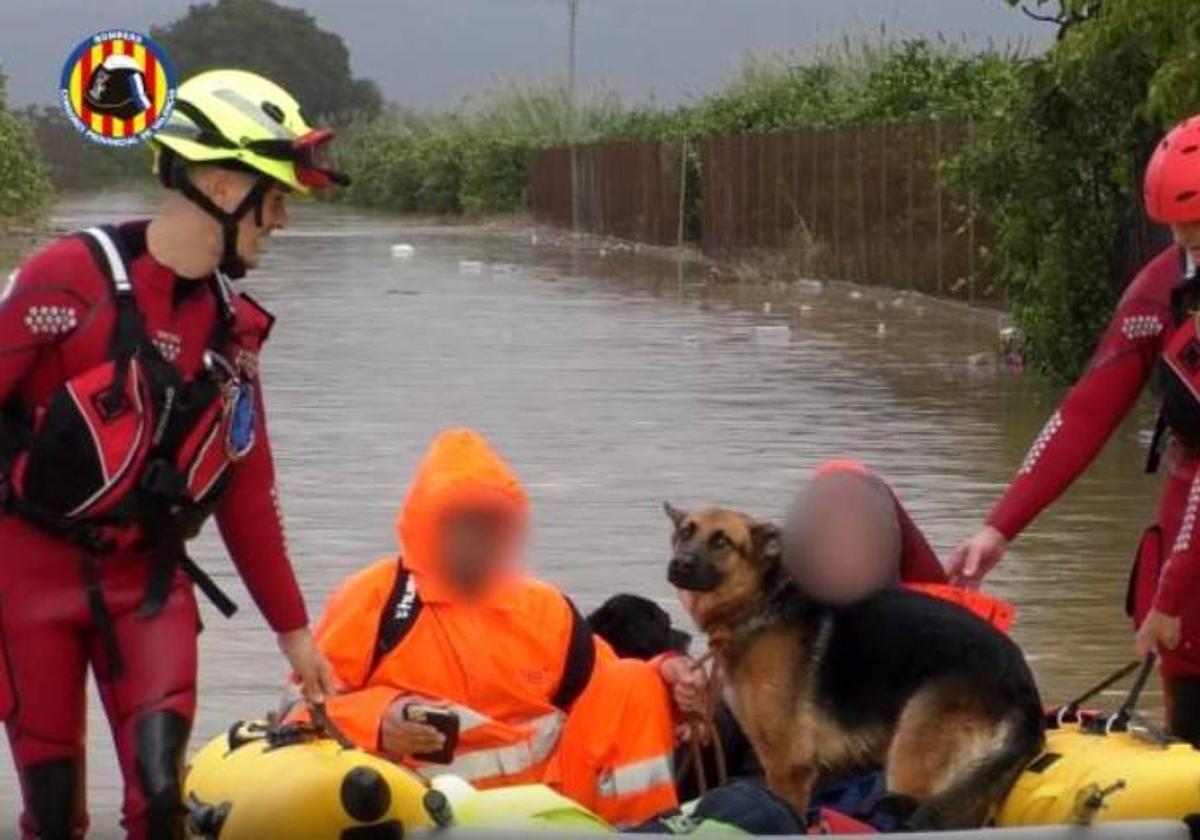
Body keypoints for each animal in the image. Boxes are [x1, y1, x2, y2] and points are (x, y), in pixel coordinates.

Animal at [667, 506, 1041, 825]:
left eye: (721, 541)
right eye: (685, 532)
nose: (678, 564)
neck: (763, 601)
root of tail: (1022, 681)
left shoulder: (787, 766)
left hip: (909, 768)